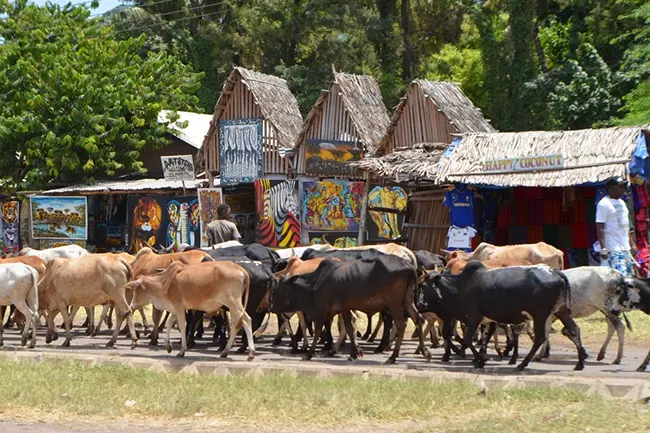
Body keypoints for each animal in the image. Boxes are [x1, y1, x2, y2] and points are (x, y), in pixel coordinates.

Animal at [125, 260, 254, 358]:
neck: (165, 282)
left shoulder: (179, 307)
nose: (132, 306)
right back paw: (227, 351)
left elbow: (183, 326)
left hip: (234, 304)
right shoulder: (174, 309)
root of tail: (241, 270)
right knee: (239, 323)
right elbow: (169, 322)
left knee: (246, 320)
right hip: (233, 307)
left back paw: (249, 353)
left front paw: (182, 350)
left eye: (136, 289)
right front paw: (168, 346)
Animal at [428, 262, 584, 370]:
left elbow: (467, 338)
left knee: (540, 337)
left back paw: (522, 364)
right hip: (561, 310)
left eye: (424, 285)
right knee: (574, 330)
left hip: (540, 315)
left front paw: (480, 360)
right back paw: (580, 363)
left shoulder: (473, 317)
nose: (421, 303)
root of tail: (556, 272)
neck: (461, 285)